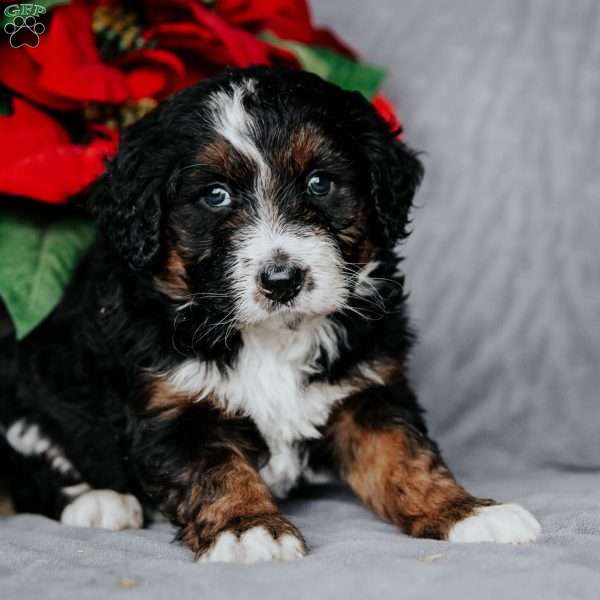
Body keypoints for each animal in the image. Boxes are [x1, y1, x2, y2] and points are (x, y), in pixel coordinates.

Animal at [0, 67, 540, 564]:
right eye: (215, 195)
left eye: (320, 183)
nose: (282, 280)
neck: (271, 335)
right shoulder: (172, 407)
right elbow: (216, 472)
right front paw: (248, 529)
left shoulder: (366, 389)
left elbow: (404, 455)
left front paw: (465, 511)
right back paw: (100, 501)